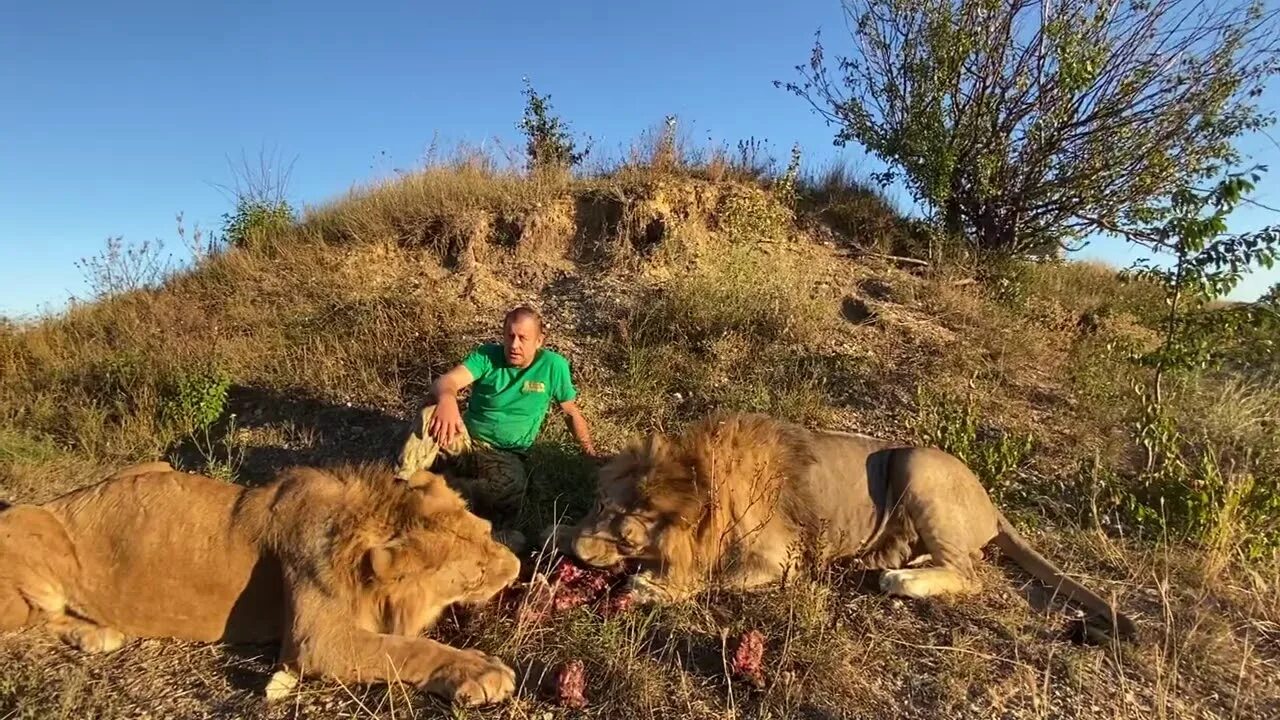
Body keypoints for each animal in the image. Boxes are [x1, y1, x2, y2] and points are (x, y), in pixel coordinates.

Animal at [0, 458, 522, 702]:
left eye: (487, 532)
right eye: (474, 574)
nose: (516, 568)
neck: (361, 522)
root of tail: (54, 500)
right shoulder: (315, 641)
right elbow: (406, 648)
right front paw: (481, 671)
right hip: (31, 530)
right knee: (34, 617)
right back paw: (96, 634)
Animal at [570, 409, 1141, 638]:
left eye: (627, 537)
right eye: (597, 504)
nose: (575, 550)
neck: (704, 479)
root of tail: (993, 501)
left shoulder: (777, 560)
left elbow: (715, 576)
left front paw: (654, 586)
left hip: (918, 465)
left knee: (970, 572)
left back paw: (901, 577)